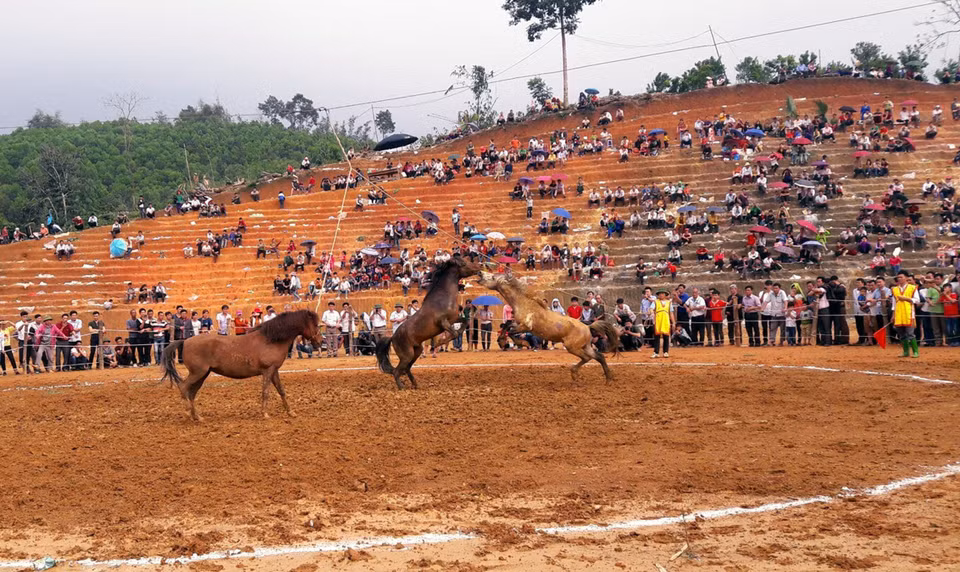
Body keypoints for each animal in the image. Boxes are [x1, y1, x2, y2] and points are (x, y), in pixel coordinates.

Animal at [161, 309, 321, 421]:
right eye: (315, 325)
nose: (319, 342)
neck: (271, 339)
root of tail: (185, 341)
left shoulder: (274, 371)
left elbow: (281, 391)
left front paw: (291, 412)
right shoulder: (267, 371)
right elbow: (266, 392)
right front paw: (265, 414)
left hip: (202, 375)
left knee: (191, 393)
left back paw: (198, 417)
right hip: (197, 373)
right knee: (183, 387)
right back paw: (188, 413)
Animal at [376, 257, 481, 388]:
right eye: (464, 263)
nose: (479, 267)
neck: (442, 298)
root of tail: (392, 337)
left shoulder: (454, 319)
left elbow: (465, 323)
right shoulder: (443, 322)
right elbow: (454, 333)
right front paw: (438, 344)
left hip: (416, 351)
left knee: (407, 368)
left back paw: (415, 385)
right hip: (407, 355)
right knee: (397, 371)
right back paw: (402, 387)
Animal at [476, 271, 620, 381]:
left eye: (493, 277)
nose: (480, 273)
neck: (525, 303)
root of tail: (588, 327)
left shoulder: (526, 326)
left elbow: (511, 331)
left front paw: (521, 343)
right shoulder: (517, 323)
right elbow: (507, 325)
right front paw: (501, 341)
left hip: (572, 347)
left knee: (587, 357)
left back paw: (575, 374)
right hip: (586, 346)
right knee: (599, 357)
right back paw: (608, 379)